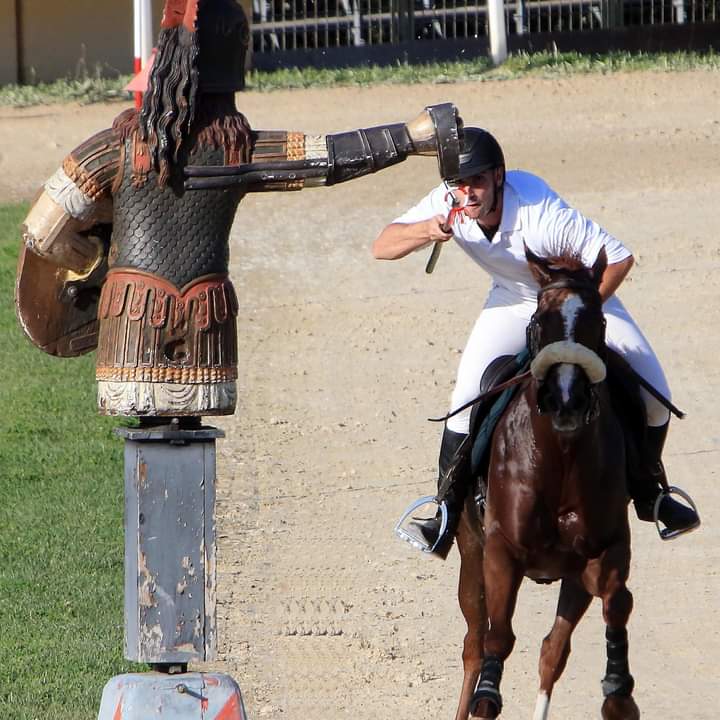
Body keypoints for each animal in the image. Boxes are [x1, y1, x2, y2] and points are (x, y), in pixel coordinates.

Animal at [456, 248, 640, 720]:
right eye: (540, 321)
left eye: (599, 322)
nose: (566, 400)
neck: (561, 455)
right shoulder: (499, 552)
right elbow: (497, 639)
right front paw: (487, 694)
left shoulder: (603, 549)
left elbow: (616, 602)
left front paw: (618, 691)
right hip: (470, 552)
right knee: (474, 644)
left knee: (552, 652)